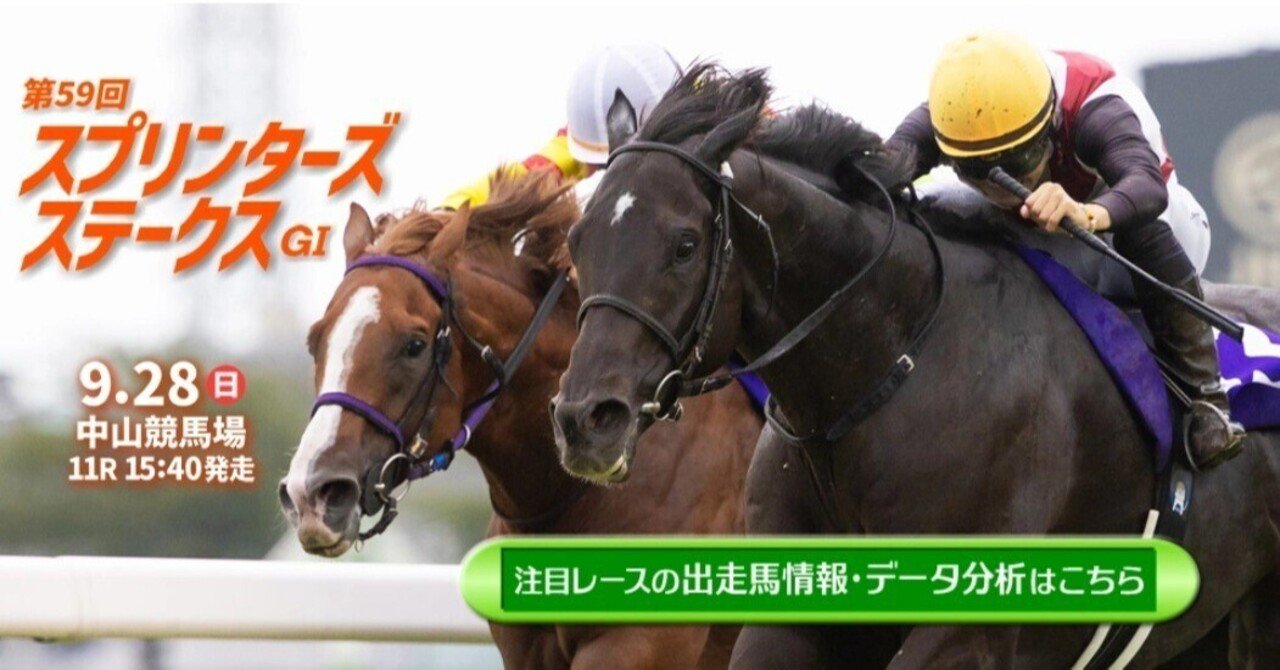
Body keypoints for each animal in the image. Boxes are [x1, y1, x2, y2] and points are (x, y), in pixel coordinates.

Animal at [550, 64, 1280, 668]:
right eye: (576, 241)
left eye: (683, 244)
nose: (587, 419)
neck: (883, 370)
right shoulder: (789, 617)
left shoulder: (961, 625)